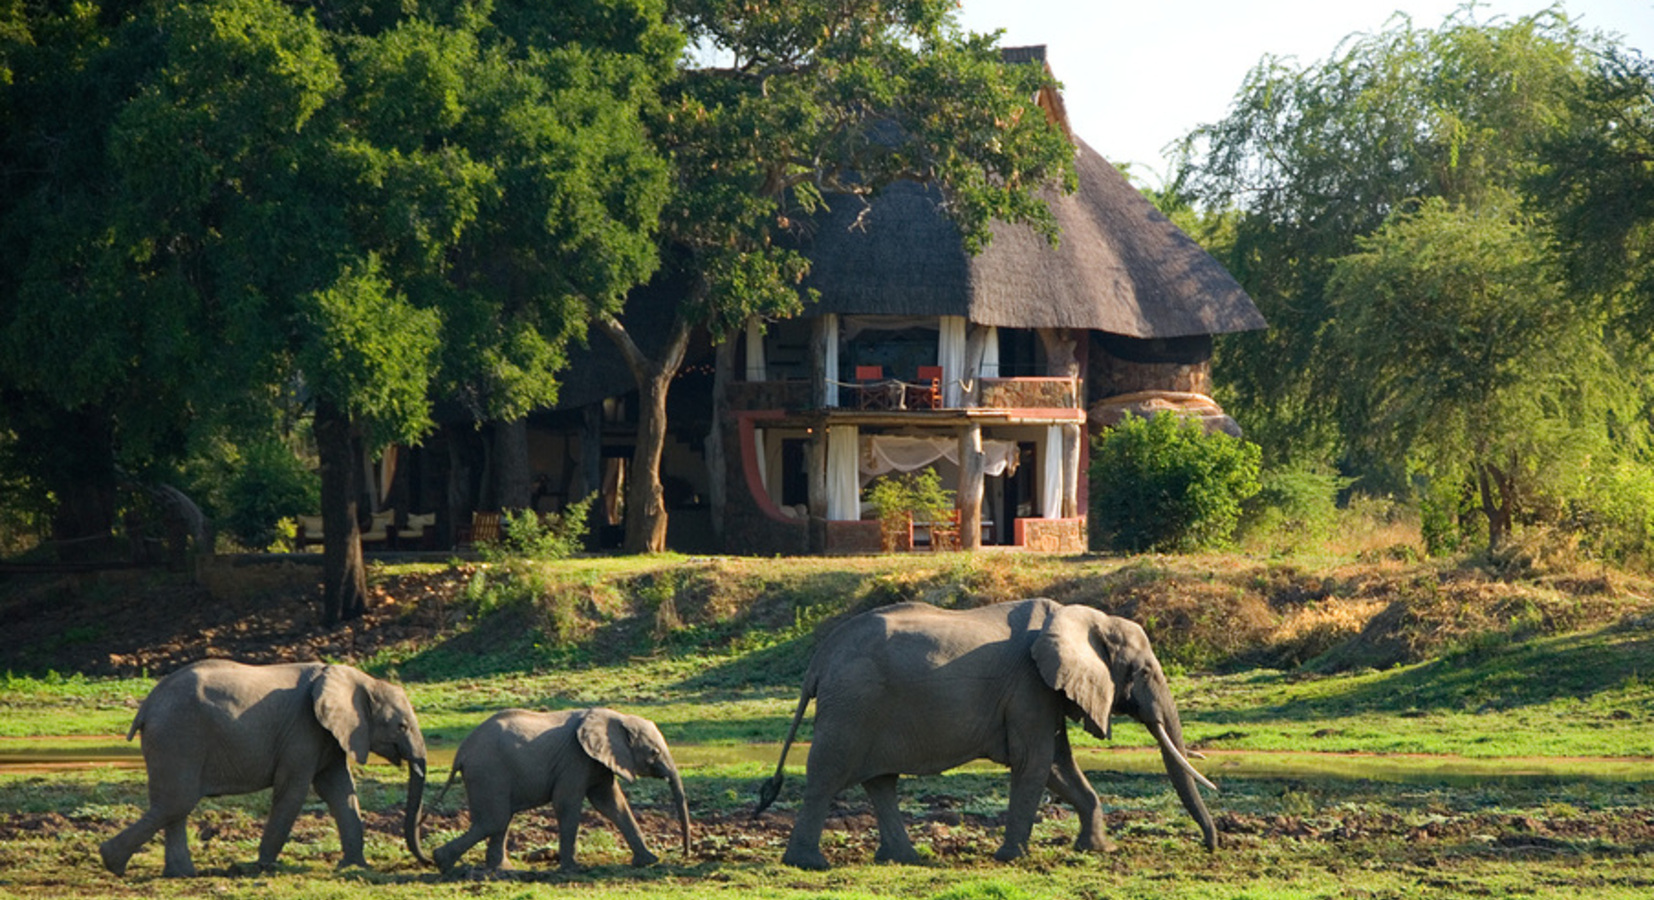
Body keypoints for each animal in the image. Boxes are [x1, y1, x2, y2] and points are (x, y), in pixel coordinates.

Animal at [100, 658, 430, 873]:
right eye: (401, 726)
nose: (425, 861)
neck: (359, 679)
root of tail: (146, 706)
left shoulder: (328, 735)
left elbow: (339, 790)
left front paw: (354, 867)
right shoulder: (303, 729)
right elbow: (293, 790)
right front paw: (263, 865)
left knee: (175, 805)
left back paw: (179, 874)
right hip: (178, 735)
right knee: (177, 801)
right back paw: (112, 862)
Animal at [757, 602, 1217, 866]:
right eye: (1145, 672)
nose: (1210, 847)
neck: (1085, 618)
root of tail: (819, 660)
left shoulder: (1043, 690)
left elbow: (1057, 764)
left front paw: (1098, 851)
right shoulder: (1030, 685)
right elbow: (1035, 762)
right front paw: (1013, 858)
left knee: (881, 781)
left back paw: (906, 860)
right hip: (852, 706)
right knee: (827, 776)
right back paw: (809, 864)